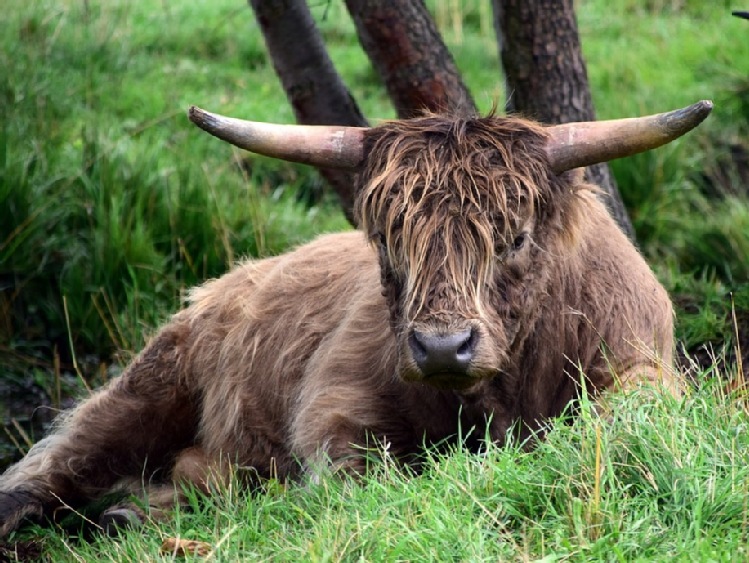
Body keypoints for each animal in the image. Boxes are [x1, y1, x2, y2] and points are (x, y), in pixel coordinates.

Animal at [0, 100, 712, 536]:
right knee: (58, 458)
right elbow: (355, 469)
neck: (495, 395)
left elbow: (623, 417)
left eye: (513, 238)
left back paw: (143, 510)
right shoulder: (336, 398)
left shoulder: (640, 364)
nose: (442, 347)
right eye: (389, 242)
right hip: (147, 385)